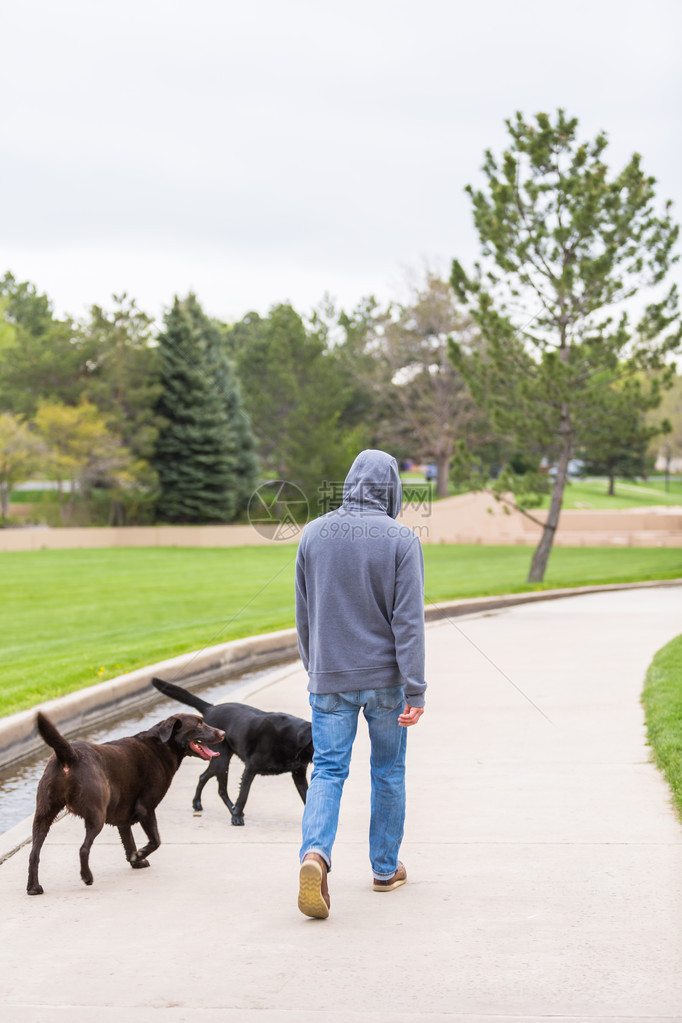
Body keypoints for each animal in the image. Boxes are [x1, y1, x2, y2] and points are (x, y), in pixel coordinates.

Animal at [26, 712, 223, 896]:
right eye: (199, 724)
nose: (222, 733)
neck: (162, 746)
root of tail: (71, 756)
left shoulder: (123, 817)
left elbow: (129, 841)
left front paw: (136, 861)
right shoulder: (146, 808)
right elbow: (155, 840)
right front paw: (139, 856)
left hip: (43, 816)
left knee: (34, 854)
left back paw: (33, 887)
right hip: (96, 816)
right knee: (83, 849)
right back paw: (87, 877)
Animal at [150, 675, 312, 826]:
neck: (293, 738)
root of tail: (211, 708)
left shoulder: (298, 773)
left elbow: (307, 795)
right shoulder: (250, 769)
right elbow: (243, 796)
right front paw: (237, 816)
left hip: (217, 759)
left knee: (203, 776)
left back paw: (197, 803)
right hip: (222, 761)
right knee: (221, 790)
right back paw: (232, 810)